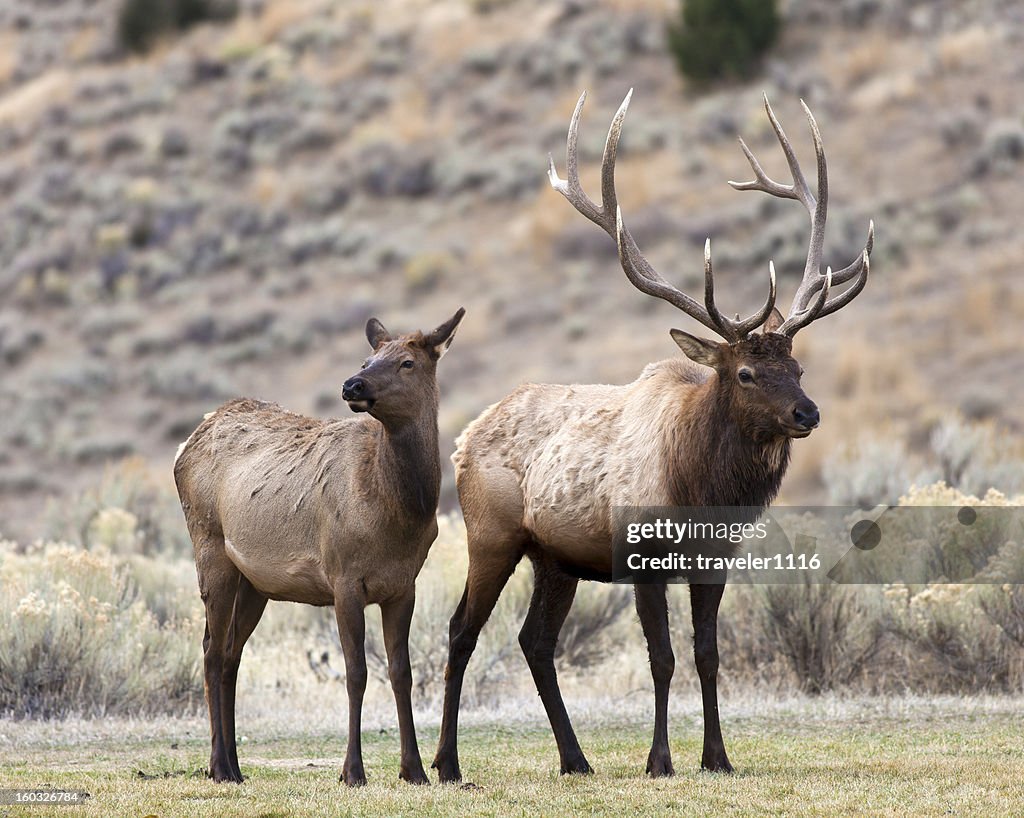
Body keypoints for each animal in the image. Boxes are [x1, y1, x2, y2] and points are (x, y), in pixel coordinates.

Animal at [176, 309, 464, 786]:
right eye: (368, 359)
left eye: (407, 362)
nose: (352, 385)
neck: (399, 513)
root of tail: (186, 442)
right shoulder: (344, 578)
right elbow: (356, 673)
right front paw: (353, 771)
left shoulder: (403, 585)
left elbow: (400, 672)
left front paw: (414, 770)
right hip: (210, 549)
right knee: (212, 651)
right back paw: (218, 766)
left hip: (255, 583)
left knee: (232, 654)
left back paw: (235, 765)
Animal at [432, 92, 872, 782]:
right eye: (745, 372)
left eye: (798, 367)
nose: (808, 413)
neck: (701, 490)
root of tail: (464, 437)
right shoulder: (643, 555)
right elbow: (662, 658)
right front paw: (660, 759)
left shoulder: (715, 561)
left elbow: (707, 655)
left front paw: (717, 757)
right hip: (492, 534)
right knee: (461, 631)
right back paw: (444, 764)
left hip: (554, 558)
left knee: (535, 641)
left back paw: (575, 759)